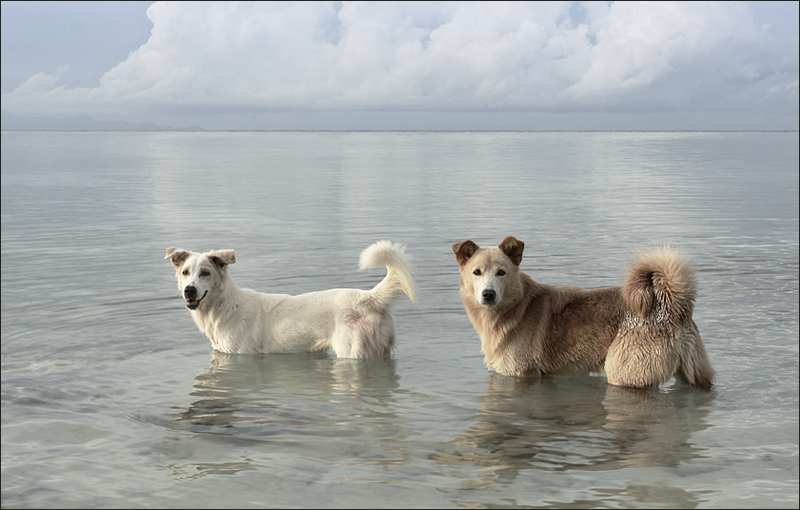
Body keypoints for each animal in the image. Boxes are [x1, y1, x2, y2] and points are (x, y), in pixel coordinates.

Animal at [167, 241, 418, 356]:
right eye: (185, 272)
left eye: (205, 273)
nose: (189, 290)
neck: (224, 306)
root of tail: (370, 296)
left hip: (354, 353)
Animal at [454, 236, 716, 390]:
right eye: (477, 272)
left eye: (501, 272)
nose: (488, 294)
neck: (516, 307)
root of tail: (671, 306)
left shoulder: (523, 375)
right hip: (692, 373)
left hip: (625, 375)